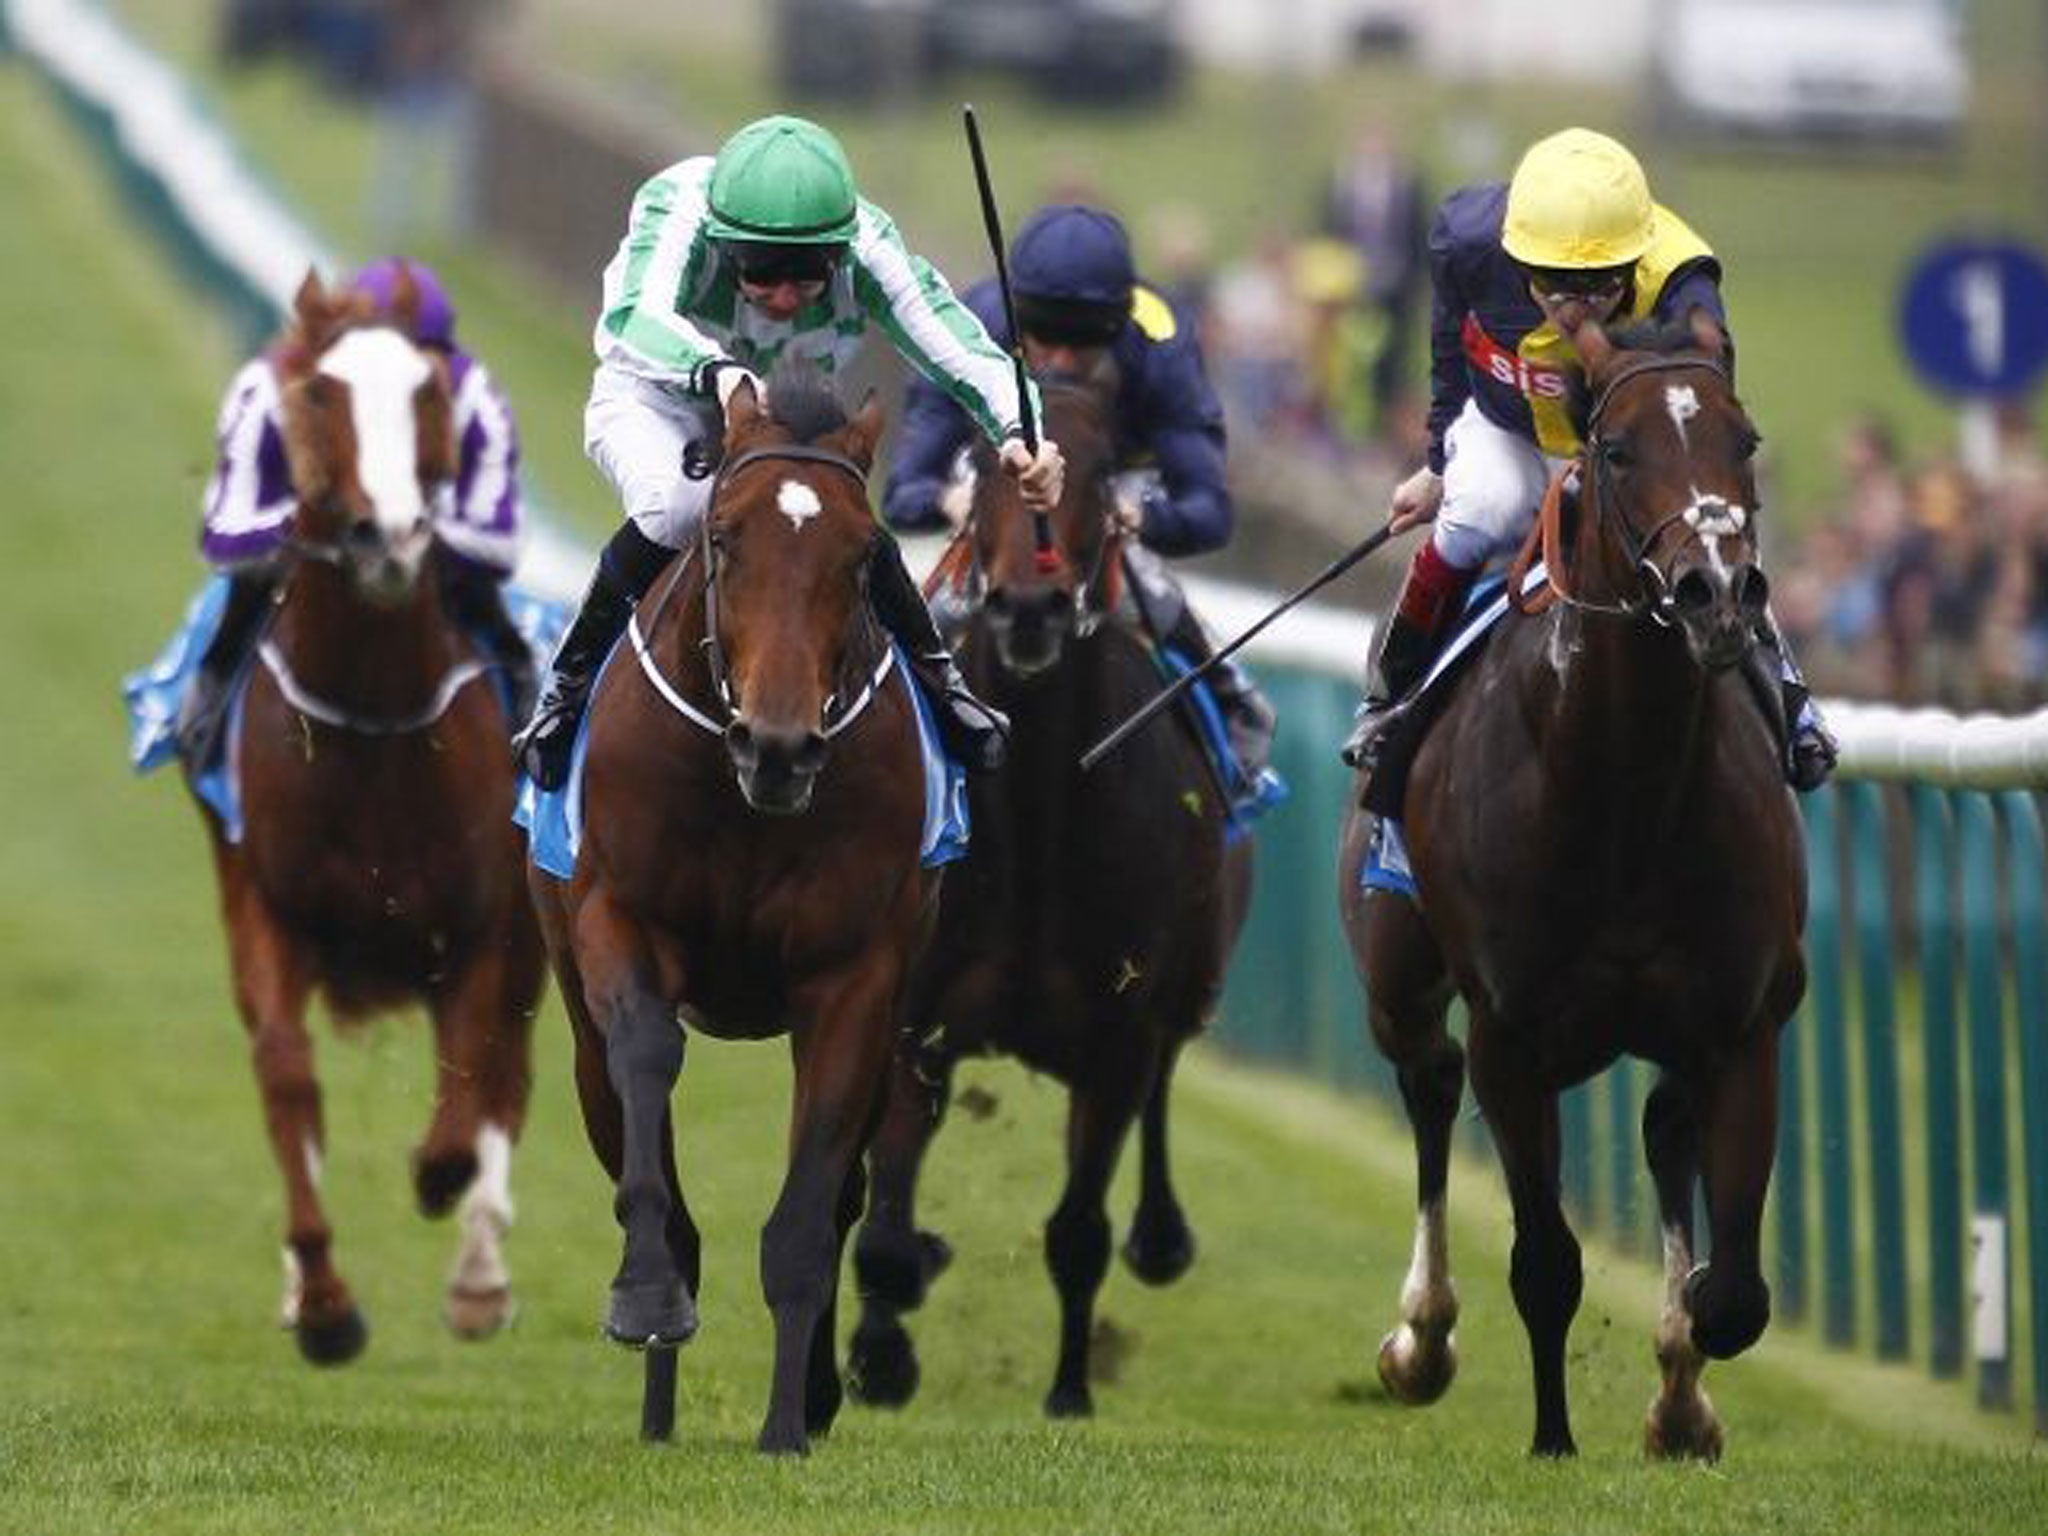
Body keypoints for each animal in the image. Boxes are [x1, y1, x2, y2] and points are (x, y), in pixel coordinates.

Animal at [199, 270, 544, 1368]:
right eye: (317, 392)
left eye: (428, 394)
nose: (387, 538)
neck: (373, 723)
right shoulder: (266, 910)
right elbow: (286, 1080)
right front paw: (320, 1301)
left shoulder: (479, 929)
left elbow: (466, 1104)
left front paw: (444, 1197)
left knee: (504, 1081)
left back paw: (479, 1275)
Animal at [536, 372, 937, 1458]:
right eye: (723, 538)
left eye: (863, 554)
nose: (780, 747)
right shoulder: (618, 921)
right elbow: (647, 1080)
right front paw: (646, 1297)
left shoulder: (855, 982)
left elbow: (807, 1218)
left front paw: (788, 1426)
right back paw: (657, 1411)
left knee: (844, 1195)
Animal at [843, 370, 1245, 1417]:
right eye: (984, 462)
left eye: (1099, 472)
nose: (1031, 608)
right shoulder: (918, 1023)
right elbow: (886, 1230)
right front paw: (881, 1352)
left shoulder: (1116, 1043)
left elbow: (1077, 1232)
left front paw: (1069, 1393)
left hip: (1184, 992)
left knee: (1162, 1096)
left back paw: (1161, 1236)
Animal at [1343, 315, 1810, 1466]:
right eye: (1617, 450)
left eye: (1744, 441)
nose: (1714, 593)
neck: (1622, 794)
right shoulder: (1513, 1036)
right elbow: (1545, 1261)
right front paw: (1551, 1438)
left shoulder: (1742, 1024)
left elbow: (1730, 1294)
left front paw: (1681, 1393)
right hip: (1396, 981)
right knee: (1428, 1083)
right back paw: (1418, 1342)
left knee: (1664, 1124)